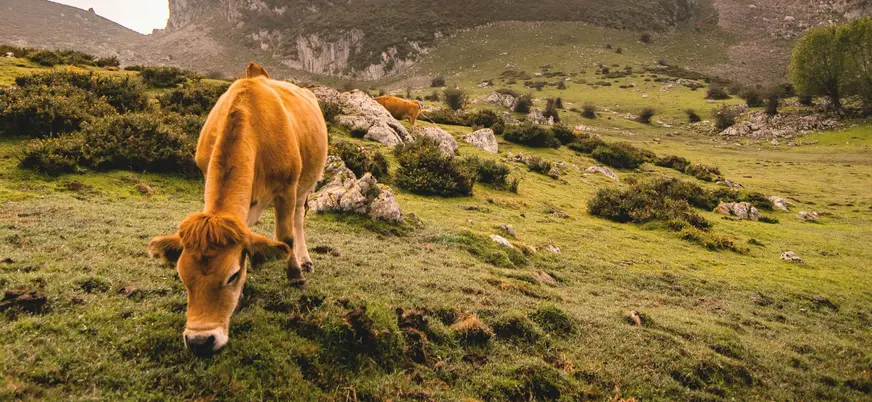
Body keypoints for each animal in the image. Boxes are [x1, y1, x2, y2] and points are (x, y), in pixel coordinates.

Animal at [148, 63, 328, 354]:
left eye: (231, 275)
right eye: (183, 276)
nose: (200, 341)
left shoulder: (287, 188)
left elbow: (286, 235)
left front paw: (295, 274)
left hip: (306, 183)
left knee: (298, 218)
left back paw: (305, 260)